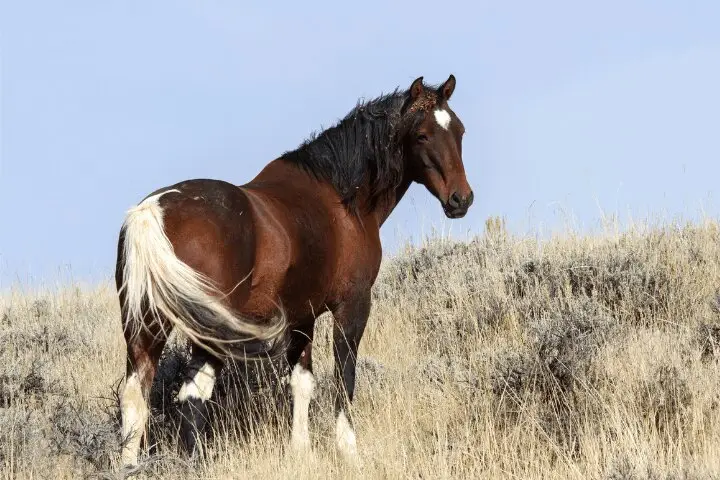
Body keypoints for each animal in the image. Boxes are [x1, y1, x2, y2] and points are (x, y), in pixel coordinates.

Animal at [114, 74, 474, 469]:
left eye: (459, 131)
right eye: (422, 135)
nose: (461, 199)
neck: (341, 198)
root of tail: (151, 212)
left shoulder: (303, 317)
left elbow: (302, 382)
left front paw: (300, 451)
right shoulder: (353, 306)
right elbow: (344, 376)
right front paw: (348, 450)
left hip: (147, 326)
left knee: (136, 395)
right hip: (208, 334)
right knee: (193, 394)